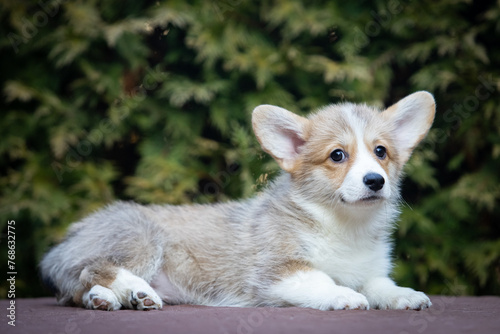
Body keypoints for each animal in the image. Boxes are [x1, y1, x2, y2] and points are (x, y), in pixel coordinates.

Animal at [41, 90, 436, 310]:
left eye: (381, 152)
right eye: (337, 156)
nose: (375, 181)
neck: (342, 224)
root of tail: (70, 237)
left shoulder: (369, 271)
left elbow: (381, 285)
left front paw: (406, 295)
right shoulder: (277, 270)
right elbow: (321, 279)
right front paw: (344, 296)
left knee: (76, 290)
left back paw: (105, 299)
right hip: (140, 238)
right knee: (93, 268)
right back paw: (135, 291)